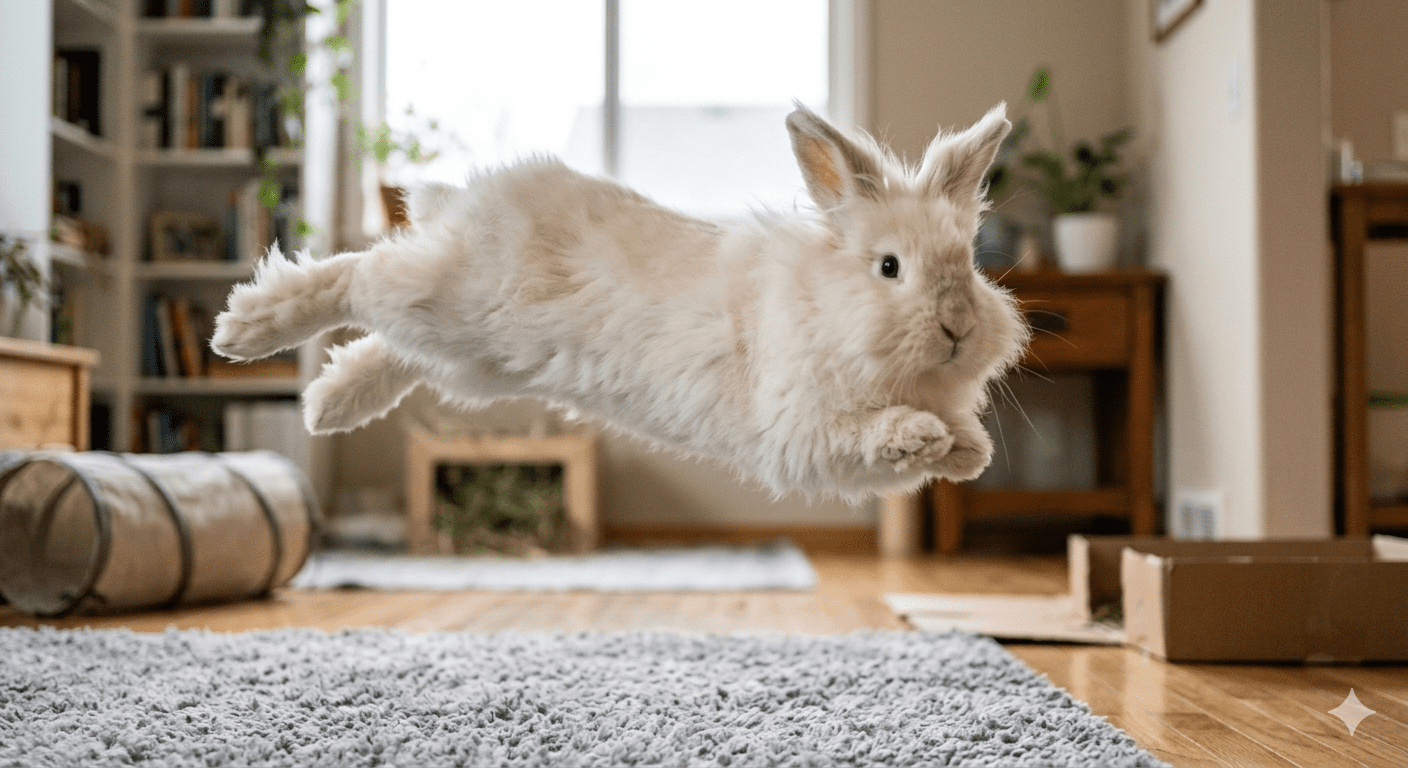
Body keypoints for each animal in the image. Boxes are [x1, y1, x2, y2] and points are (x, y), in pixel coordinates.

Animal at [211, 103, 1029, 501]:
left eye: (968, 264)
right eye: (889, 266)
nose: (959, 327)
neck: (827, 306)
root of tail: (470, 203)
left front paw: (967, 452)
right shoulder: (801, 430)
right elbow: (870, 431)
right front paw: (925, 436)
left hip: (471, 352)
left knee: (388, 341)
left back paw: (328, 405)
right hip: (453, 299)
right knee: (355, 275)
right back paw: (244, 329)